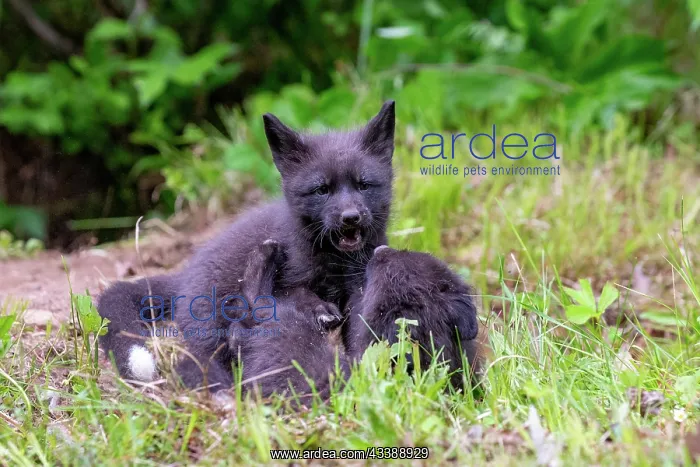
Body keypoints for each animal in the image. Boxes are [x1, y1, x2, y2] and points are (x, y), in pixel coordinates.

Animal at [98, 101, 395, 391]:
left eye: (364, 185)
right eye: (322, 190)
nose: (350, 217)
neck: (336, 264)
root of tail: (184, 275)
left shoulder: (359, 291)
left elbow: (360, 337)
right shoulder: (287, 286)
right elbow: (297, 295)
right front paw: (320, 311)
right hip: (209, 325)